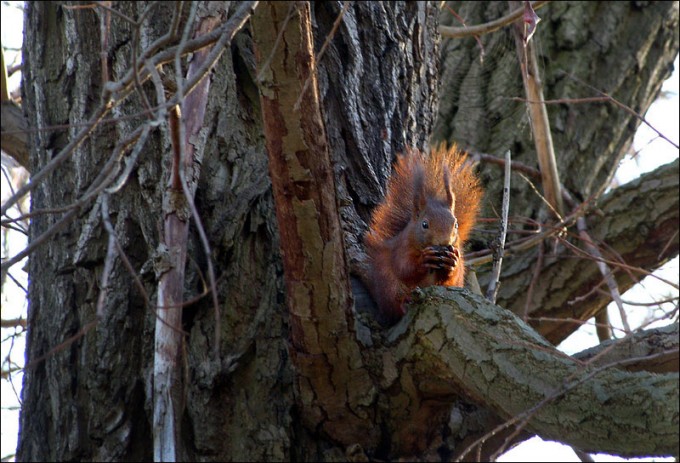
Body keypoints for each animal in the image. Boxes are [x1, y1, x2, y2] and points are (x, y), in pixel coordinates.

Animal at [363, 144, 483, 323]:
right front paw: (424, 259)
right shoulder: (401, 248)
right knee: (395, 308)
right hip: (390, 288)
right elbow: (404, 268)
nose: (444, 242)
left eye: (455, 224)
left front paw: (452, 261)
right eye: (424, 224)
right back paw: (404, 304)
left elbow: (451, 275)